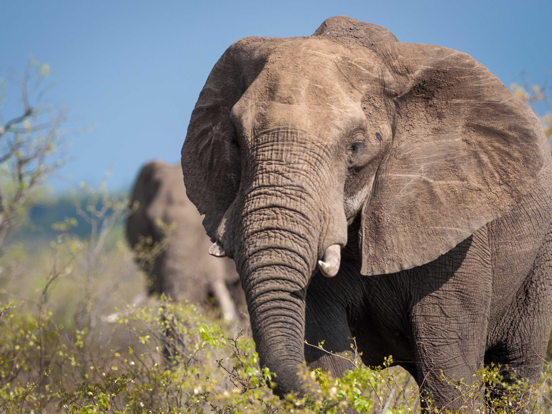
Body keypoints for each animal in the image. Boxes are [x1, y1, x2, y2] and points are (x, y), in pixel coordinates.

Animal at [180, 16, 552, 410]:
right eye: (235, 141)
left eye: (356, 147)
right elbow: (326, 357)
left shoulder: (456, 229)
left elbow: (449, 370)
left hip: (538, 262)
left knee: (515, 370)